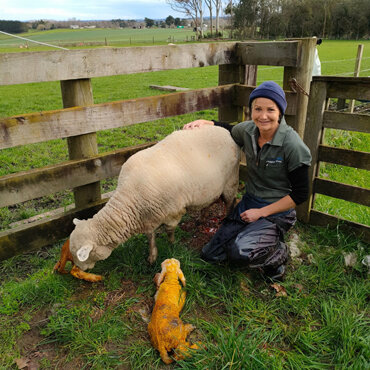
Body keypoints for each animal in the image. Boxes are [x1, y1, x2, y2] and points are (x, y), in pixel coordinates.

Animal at [68, 126, 240, 272]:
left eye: (80, 256)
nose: (78, 269)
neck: (130, 200)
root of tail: (226, 131)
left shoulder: (173, 213)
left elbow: (169, 230)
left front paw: (171, 244)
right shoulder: (149, 218)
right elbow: (150, 237)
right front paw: (152, 257)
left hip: (231, 181)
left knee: (231, 203)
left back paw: (225, 220)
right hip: (209, 188)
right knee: (209, 203)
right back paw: (202, 218)